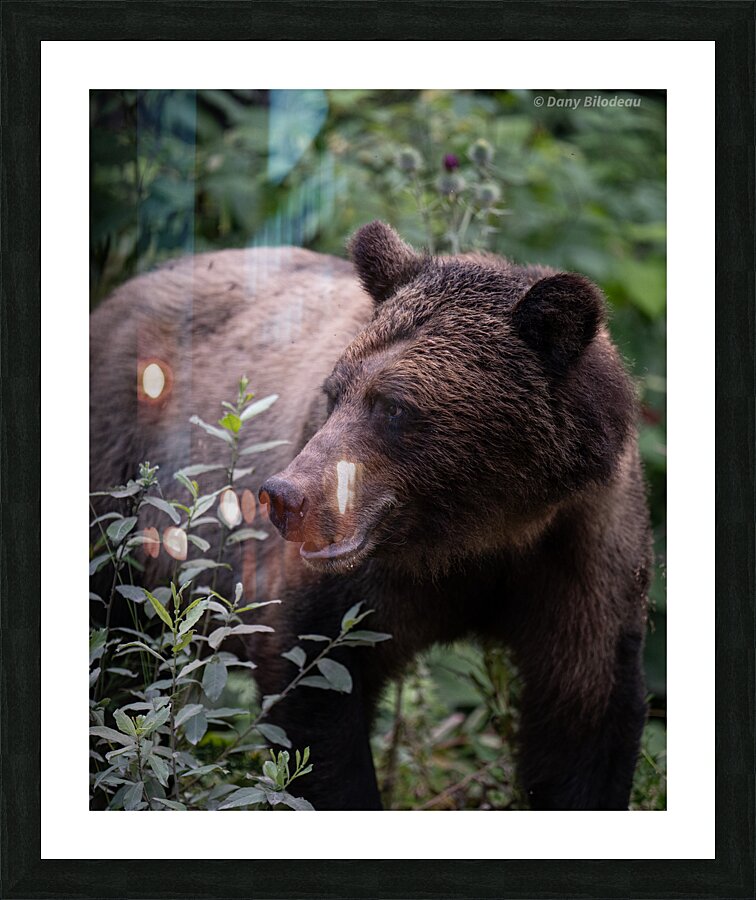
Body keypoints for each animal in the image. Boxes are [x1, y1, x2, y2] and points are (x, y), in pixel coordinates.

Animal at [90, 221, 651, 811]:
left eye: (394, 406)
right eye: (334, 392)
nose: (284, 497)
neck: (479, 533)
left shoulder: (582, 546)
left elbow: (584, 715)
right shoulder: (349, 589)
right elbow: (315, 687)